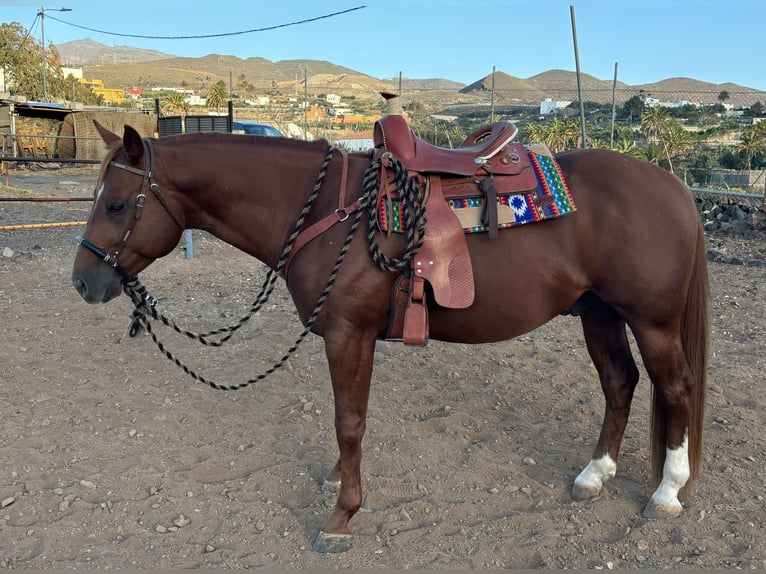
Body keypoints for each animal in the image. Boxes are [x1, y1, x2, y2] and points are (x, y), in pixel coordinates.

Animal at [73, 121, 712, 552]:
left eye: (116, 204)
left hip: (651, 321)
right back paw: (593, 476)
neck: (328, 214)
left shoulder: (347, 334)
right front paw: (338, 480)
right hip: (599, 313)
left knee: (675, 389)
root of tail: (675, 188)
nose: (83, 282)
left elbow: (349, 420)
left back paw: (666, 492)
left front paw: (341, 516)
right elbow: (345, 416)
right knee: (619, 383)